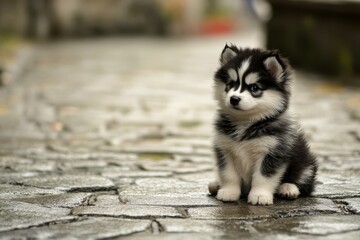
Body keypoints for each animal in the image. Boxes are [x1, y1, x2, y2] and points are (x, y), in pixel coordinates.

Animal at [208, 45, 318, 206]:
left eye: (254, 88)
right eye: (230, 84)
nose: (234, 99)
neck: (245, 123)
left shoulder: (273, 151)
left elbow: (263, 176)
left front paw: (260, 195)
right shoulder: (224, 148)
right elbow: (229, 174)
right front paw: (229, 191)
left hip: (305, 162)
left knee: (304, 182)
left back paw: (288, 188)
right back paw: (216, 184)